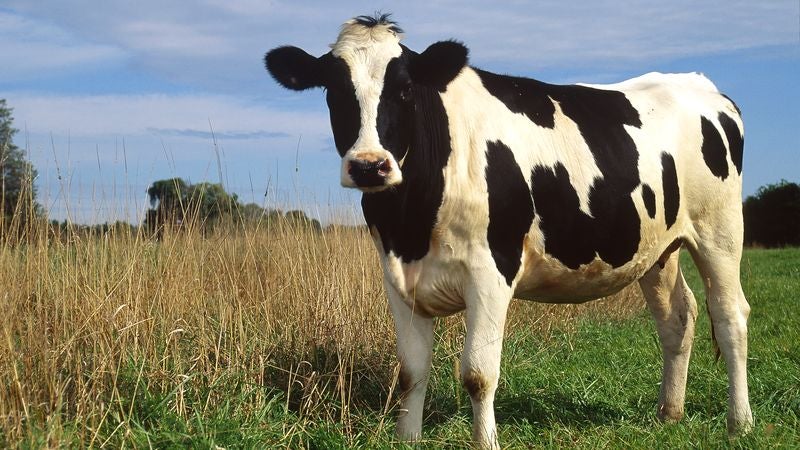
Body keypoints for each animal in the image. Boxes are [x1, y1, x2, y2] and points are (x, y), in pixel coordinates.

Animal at [262, 13, 752, 446]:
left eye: (405, 90)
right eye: (332, 91)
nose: (369, 165)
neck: (412, 222)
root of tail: (701, 84)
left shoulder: (491, 270)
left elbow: (478, 374)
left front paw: (485, 441)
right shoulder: (398, 276)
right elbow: (411, 372)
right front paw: (408, 438)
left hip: (720, 229)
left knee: (731, 315)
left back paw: (740, 422)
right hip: (657, 248)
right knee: (677, 318)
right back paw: (670, 413)